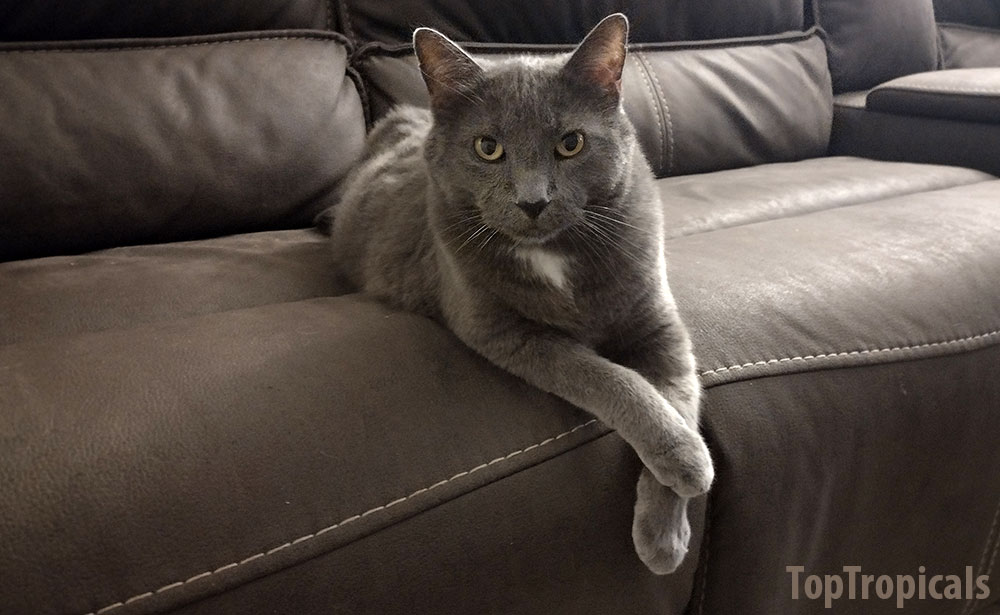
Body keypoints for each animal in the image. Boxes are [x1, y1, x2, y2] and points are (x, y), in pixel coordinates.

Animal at [328, 14, 712, 576]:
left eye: (571, 143)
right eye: (487, 148)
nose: (533, 201)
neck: (553, 254)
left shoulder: (658, 324)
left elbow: (678, 395)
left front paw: (667, 525)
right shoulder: (506, 332)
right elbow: (608, 378)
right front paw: (687, 462)